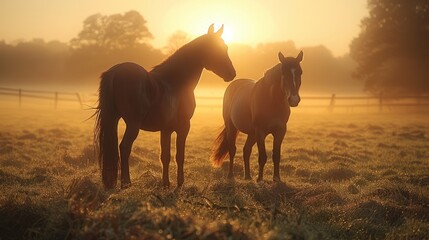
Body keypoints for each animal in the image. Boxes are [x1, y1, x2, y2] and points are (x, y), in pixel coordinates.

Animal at [94, 24, 236, 189]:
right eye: (218, 49)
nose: (232, 74)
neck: (176, 82)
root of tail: (115, 72)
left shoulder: (166, 129)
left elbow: (165, 156)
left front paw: (166, 183)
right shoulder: (184, 127)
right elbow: (179, 155)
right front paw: (180, 183)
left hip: (114, 119)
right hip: (133, 124)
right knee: (124, 147)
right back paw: (126, 183)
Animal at [210, 51, 300, 182]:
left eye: (300, 72)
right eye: (284, 73)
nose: (294, 100)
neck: (272, 100)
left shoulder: (280, 131)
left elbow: (276, 155)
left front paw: (276, 178)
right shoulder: (260, 132)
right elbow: (262, 156)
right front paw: (260, 179)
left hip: (252, 134)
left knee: (246, 150)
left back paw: (247, 176)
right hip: (232, 127)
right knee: (232, 150)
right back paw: (231, 175)